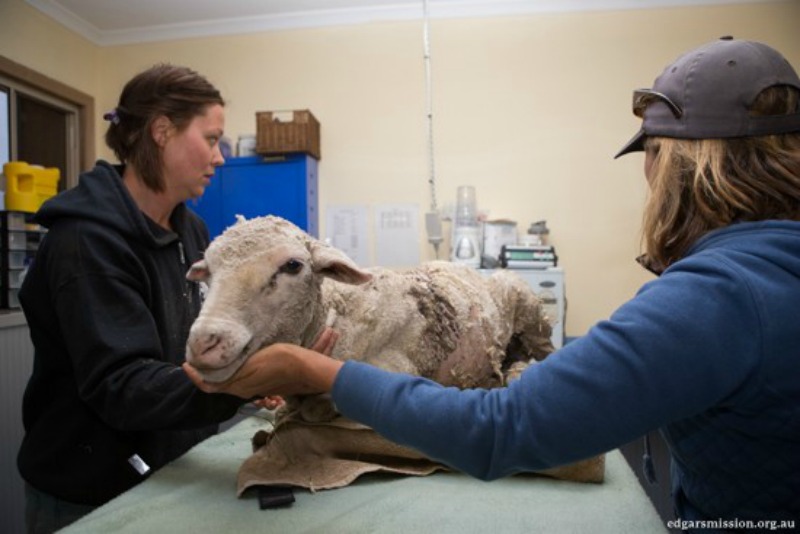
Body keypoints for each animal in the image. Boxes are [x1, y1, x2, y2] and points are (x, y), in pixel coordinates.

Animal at [185, 215, 552, 422]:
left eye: (292, 265)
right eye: (209, 272)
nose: (204, 344)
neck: (336, 317)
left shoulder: (399, 366)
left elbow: (318, 407)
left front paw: (317, 407)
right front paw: (285, 408)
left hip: (531, 311)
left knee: (543, 355)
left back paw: (517, 374)